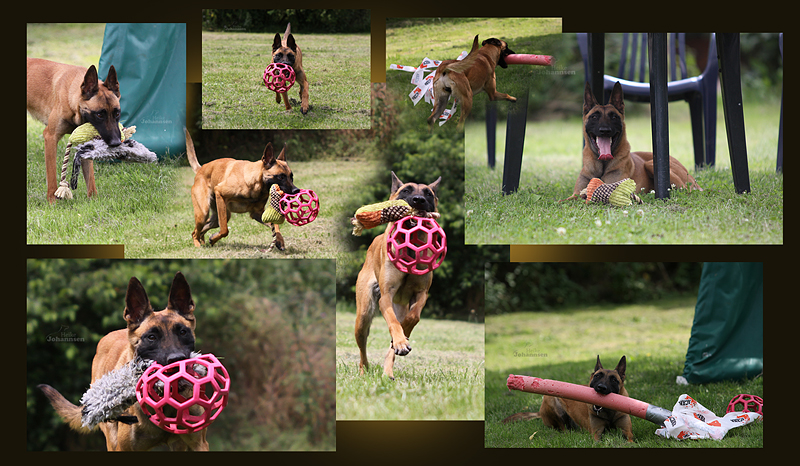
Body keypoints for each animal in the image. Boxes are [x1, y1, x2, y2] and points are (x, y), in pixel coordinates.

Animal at [26, 57, 122, 202]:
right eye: (99, 115)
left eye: (117, 113)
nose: (116, 143)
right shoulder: (50, 137)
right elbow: (51, 175)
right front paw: (52, 201)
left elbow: (90, 177)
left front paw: (94, 200)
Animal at [356, 173, 444, 380]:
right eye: (406, 190)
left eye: (428, 193)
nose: (418, 200)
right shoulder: (386, 296)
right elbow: (393, 322)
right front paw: (401, 340)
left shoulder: (421, 294)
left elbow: (413, 317)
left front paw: (402, 339)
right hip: (363, 315)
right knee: (363, 348)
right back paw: (364, 370)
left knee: (391, 349)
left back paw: (388, 370)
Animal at [564, 82, 704, 198]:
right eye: (594, 117)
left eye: (614, 117)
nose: (605, 130)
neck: (602, 164)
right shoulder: (576, 193)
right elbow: (568, 199)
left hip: (651, 164)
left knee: (685, 190)